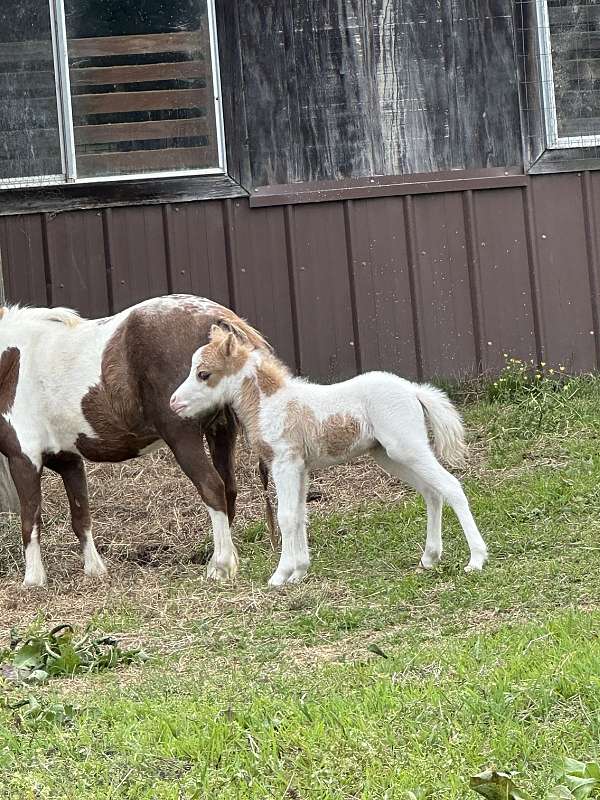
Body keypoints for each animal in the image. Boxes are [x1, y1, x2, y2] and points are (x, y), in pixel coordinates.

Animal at [0, 294, 270, 588]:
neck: (12, 361)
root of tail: (214, 316)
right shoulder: (68, 460)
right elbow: (81, 517)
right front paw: (95, 571)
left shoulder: (24, 460)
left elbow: (30, 519)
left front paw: (33, 580)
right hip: (221, 432)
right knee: (228, 488)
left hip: (183, 438)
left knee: (212, 487)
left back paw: (220, 567)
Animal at [169, 324, 488, 588]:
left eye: (204, 374)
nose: (174, 403)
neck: (272, 403)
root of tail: (413, 390)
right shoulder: (301, 467)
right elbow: (300, 514)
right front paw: (299, 572)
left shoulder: (285, 462)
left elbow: (286, 516)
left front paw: (279, 576)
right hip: (390, 456)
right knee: (431, 492)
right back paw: (429, 558)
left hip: (408, 447)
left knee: (450, 486)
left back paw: (476, 559)